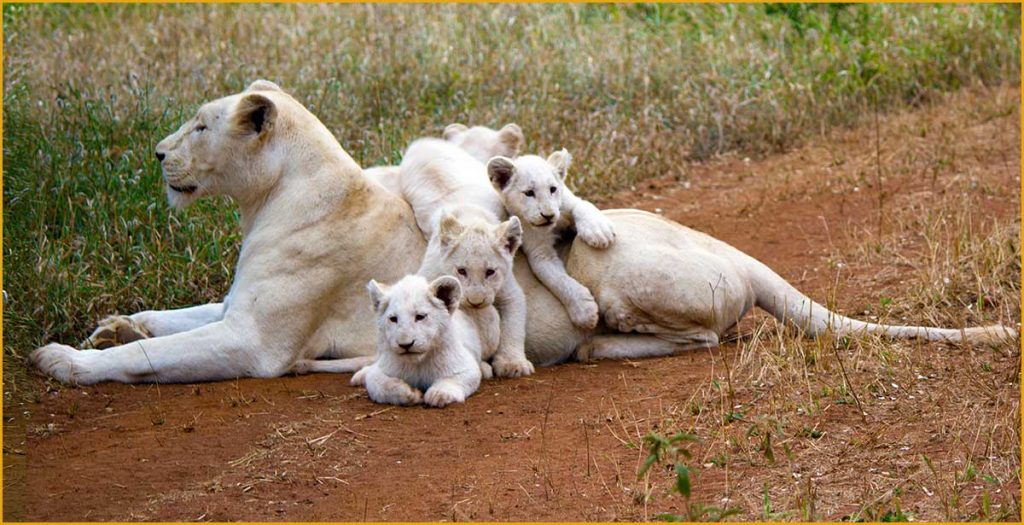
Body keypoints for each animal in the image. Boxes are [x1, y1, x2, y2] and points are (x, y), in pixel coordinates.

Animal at [32, 82, 1017, 384]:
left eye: (202, 124)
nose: (158, 153)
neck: (267, 200)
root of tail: (733, 248)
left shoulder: (255, 342)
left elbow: (152, 358)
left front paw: (64, 360)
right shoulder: (233, 308)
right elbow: (167, 318)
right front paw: (109, 323)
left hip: (627, 279)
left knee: (700, 333)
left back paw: (595, 341)